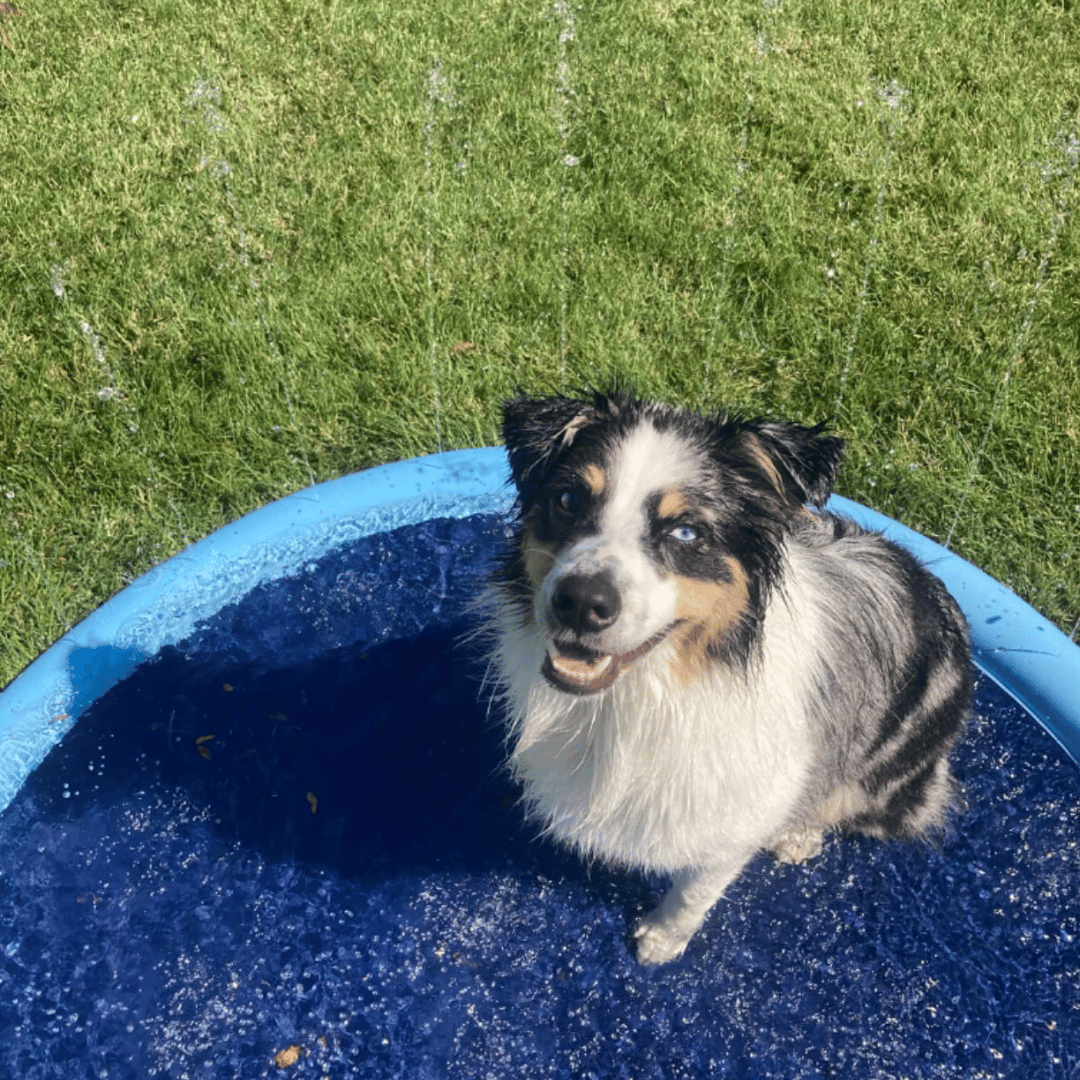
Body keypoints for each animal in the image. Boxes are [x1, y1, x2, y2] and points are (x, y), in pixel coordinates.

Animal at [490, 393, 972, 967]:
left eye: (686, 532)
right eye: (567, 500)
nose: (581, 602)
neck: (647, 690)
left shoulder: (745, 805)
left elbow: (700, 883)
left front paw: (661, 940)